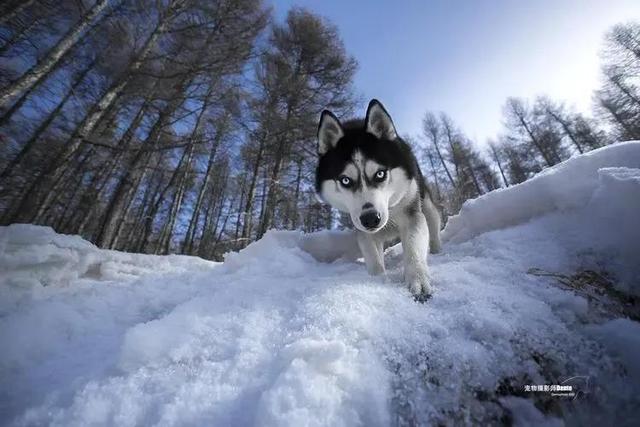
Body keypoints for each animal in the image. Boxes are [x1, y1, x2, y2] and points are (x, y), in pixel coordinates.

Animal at [316, 100, 440, 300]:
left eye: (380, 174)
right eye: (345, 180)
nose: (370, 218)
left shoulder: (411, 215)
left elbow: (413, 248)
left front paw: (418, 279)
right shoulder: (361, 229)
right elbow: (372, 258)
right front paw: (378, 280)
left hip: (426, 203)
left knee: (433, 222)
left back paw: (437, 251)